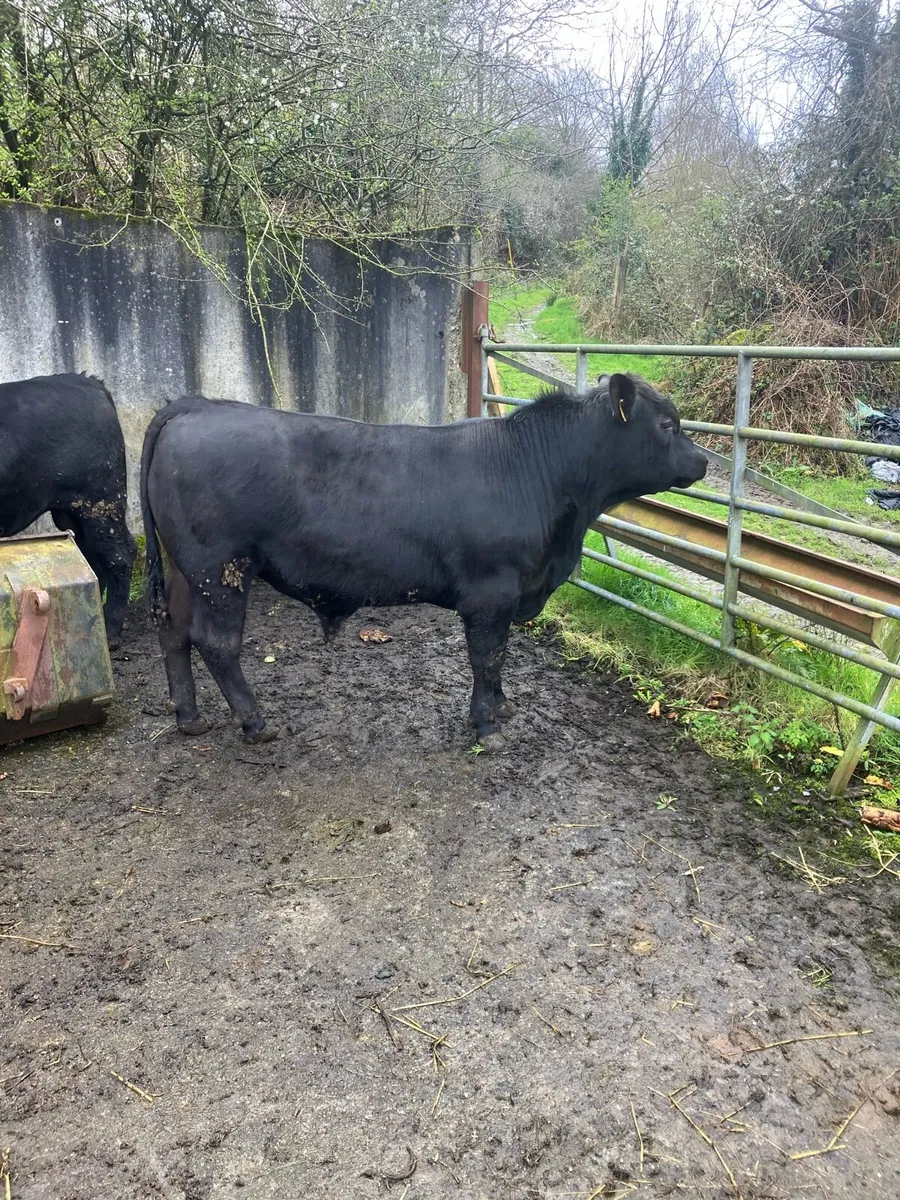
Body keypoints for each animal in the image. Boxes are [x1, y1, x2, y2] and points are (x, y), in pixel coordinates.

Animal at [0, 373, 136, 648]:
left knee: (120, 557)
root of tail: (91, 382)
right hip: (75, 515)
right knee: (92, 560)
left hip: (100, 506)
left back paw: (111, 630)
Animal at [140, 374, 707, 748]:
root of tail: (194, 405)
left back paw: (188, 716)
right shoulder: (491, 594)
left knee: (173, 631)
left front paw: (501, 706)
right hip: (221, 569)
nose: (703, 461)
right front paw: (487, 726)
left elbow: (500, 657)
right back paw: (255, 721)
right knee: (216, 643)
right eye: (667, 424)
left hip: (186, 570)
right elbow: (487, 656)